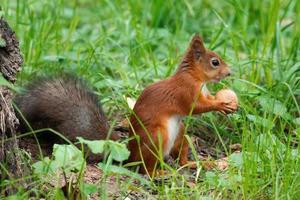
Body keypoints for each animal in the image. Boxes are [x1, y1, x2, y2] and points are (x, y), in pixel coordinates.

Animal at [127, 34, 236, 175]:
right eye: (215, 62)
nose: (229, 73)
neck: (193, 76)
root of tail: (131, 157)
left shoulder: (205, 93)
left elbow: (210, 99)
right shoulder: (186, 91)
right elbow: (196, 107)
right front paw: (221, 105)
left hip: (181, 133)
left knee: (181, 160)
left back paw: (197, 164)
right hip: (156, 138)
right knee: (145, 169)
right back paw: (159, 173)